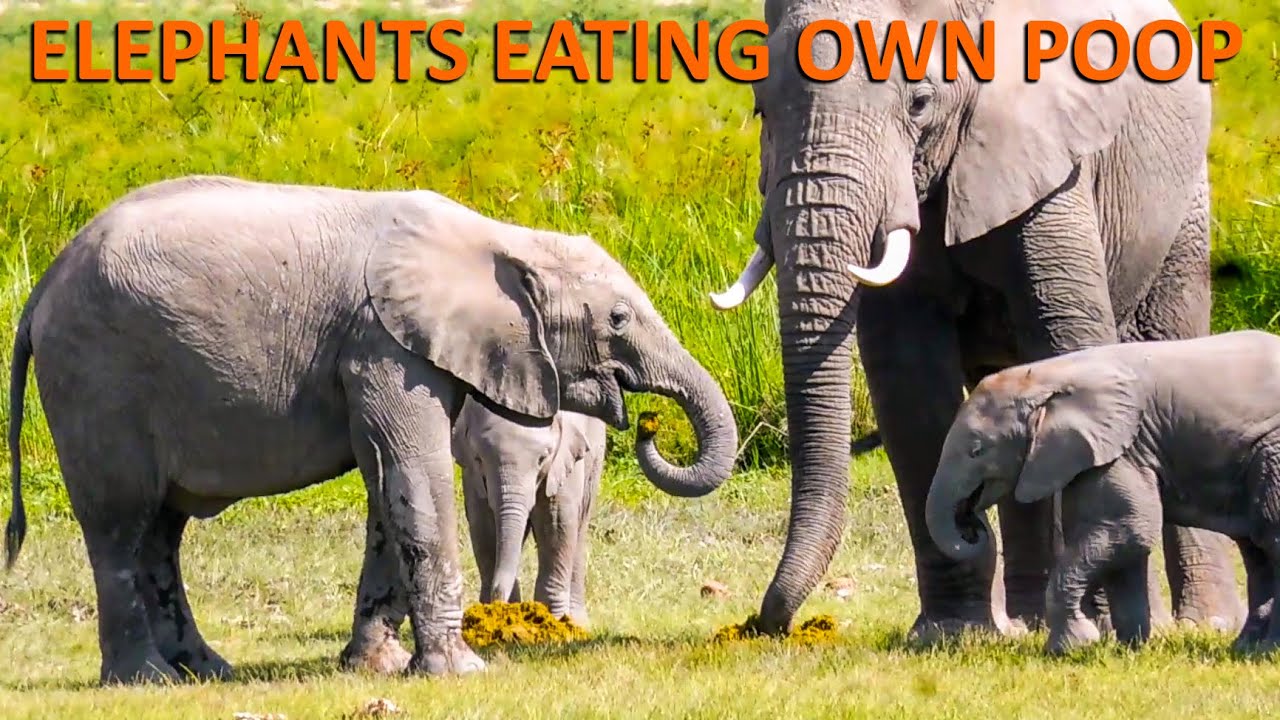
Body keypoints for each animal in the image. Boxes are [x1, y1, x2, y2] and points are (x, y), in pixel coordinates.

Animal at [452, 394, 607, 627]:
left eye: (542, 458)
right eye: (479, 459)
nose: (498, 599)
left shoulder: (562, 462)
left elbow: (557, 524)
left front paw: (554, 624)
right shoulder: (472, 474)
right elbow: (484, 526)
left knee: (579, 527)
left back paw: (578, 624)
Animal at [708, 0, 1244, 638]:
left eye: (918, 103)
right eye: (760, 108)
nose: (761, 623)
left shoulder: (1048, 163)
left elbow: (1069, 339)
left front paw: (1107, 629)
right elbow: (909, 378)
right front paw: (951, 634)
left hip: (1184, 206)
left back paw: (1203, 624)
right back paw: (1030, 621)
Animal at [925, 330, 1280, 654]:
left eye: (977, 451)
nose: (972, 524)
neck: (1045, 376)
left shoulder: (1122, 447)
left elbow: (1128, 530)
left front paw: (1070, 648)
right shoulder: (1097, 453)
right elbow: (1124, 543)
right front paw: (1129, 650)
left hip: (1272, 454)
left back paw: (1266, 652)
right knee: (1257, 551)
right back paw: (1247, 650)